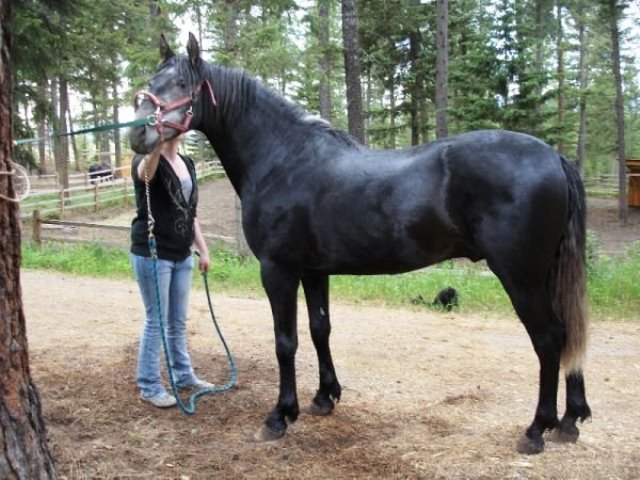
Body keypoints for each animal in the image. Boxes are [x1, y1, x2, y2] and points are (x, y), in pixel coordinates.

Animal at [129, 34, 591, 454]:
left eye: (182, 84)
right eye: (153, 80)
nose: (137, 136)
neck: (282, 159)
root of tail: (554, 156)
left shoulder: (278, 269)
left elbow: (285, 341)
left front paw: (279, 416)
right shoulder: (314, 271)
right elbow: (320, 329)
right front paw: (323, 397)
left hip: (520, 275)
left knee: (549, 338)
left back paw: (538, 429)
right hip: (546, 273)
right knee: (568, 333)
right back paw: (570, 421)